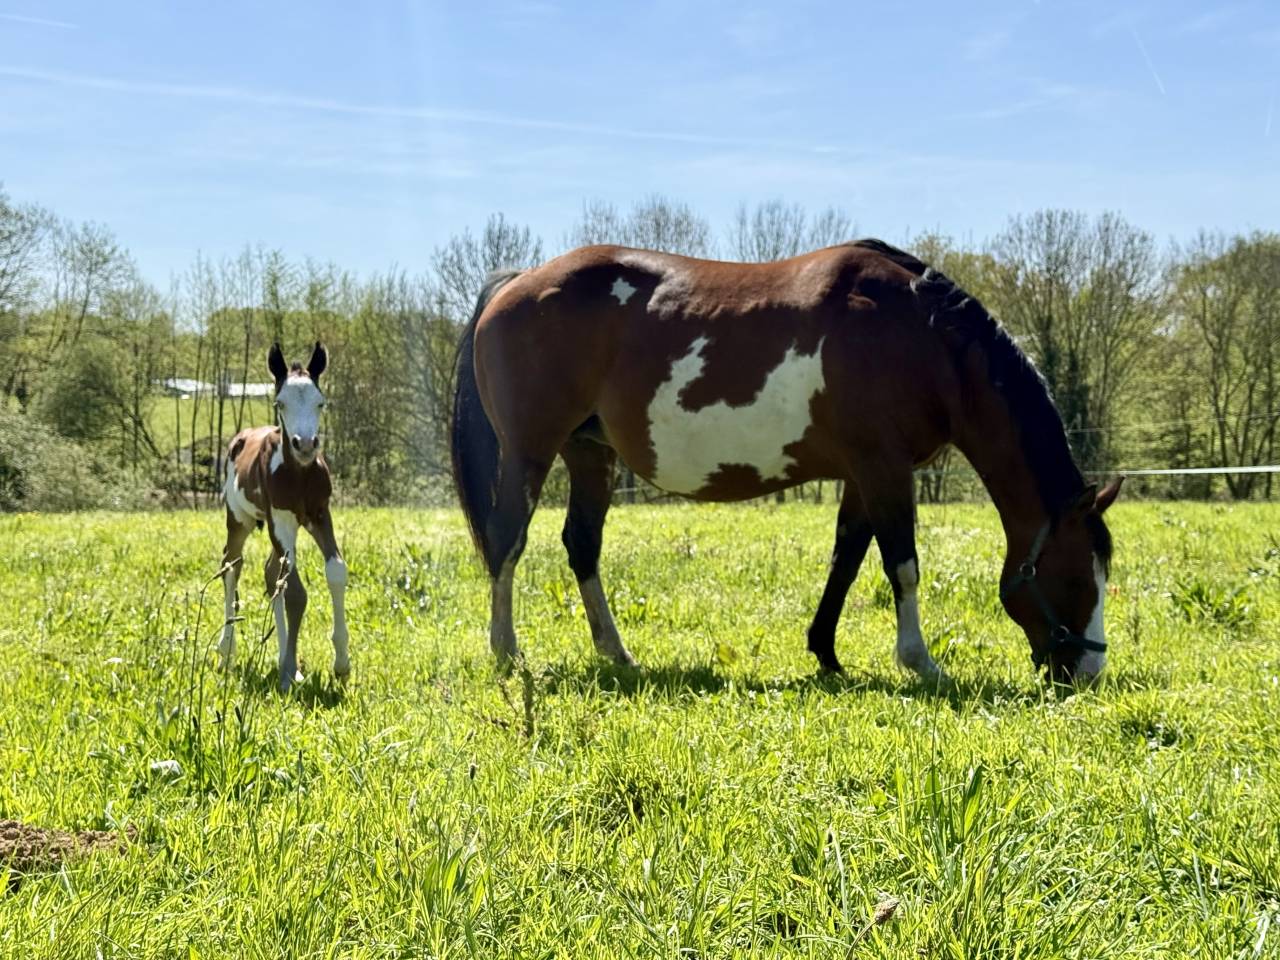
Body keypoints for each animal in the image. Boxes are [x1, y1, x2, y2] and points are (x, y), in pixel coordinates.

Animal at [218, 342, 349, 692]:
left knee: (269, 571)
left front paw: (342, 663)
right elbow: (295, 592)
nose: (305, 445)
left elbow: (336, 571)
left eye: (320, 402)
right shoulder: (281, 521)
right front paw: (289, 671)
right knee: (231, 566)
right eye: (280, 403)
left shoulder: (320, 514)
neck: (299, 474)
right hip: (239, 520)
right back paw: (226, 651)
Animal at [450, 240, 1122, 684]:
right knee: (507, 542)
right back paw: (506, 652)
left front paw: (826, 652)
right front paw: (920, 662)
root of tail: (518, 281)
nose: (1087, 670)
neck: (922, 336)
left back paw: (616, 652)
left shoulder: (861, 474)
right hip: (531, 451)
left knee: (581, 546)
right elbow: (902, 565)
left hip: (590, 453)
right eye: (1076, 575)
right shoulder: (884, 467)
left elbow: (847, 561)